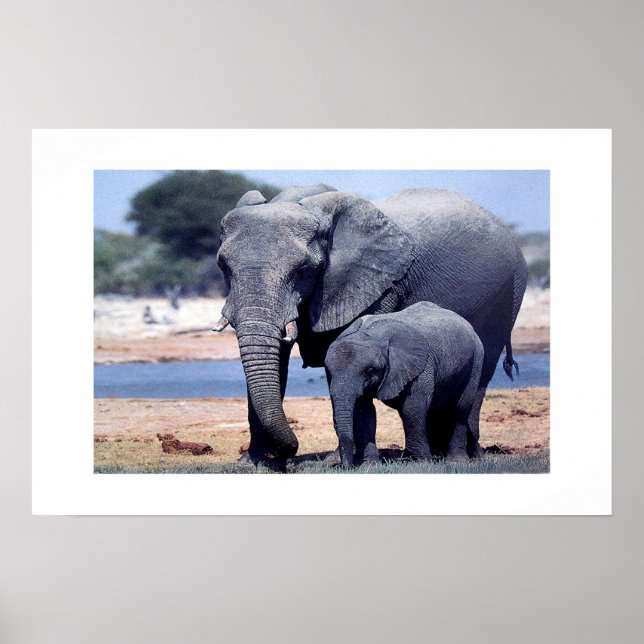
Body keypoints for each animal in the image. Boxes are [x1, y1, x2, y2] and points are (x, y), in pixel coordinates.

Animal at [324, 302, 484, 466]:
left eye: (369, 370)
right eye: (328, 371)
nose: (346, 466)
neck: (370, 335)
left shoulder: (421, 366)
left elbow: (412, 407)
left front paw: (422, 463)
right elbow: (363, 411)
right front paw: (370, 466)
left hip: (477, 359)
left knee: (460, 407)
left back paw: (456, 462)